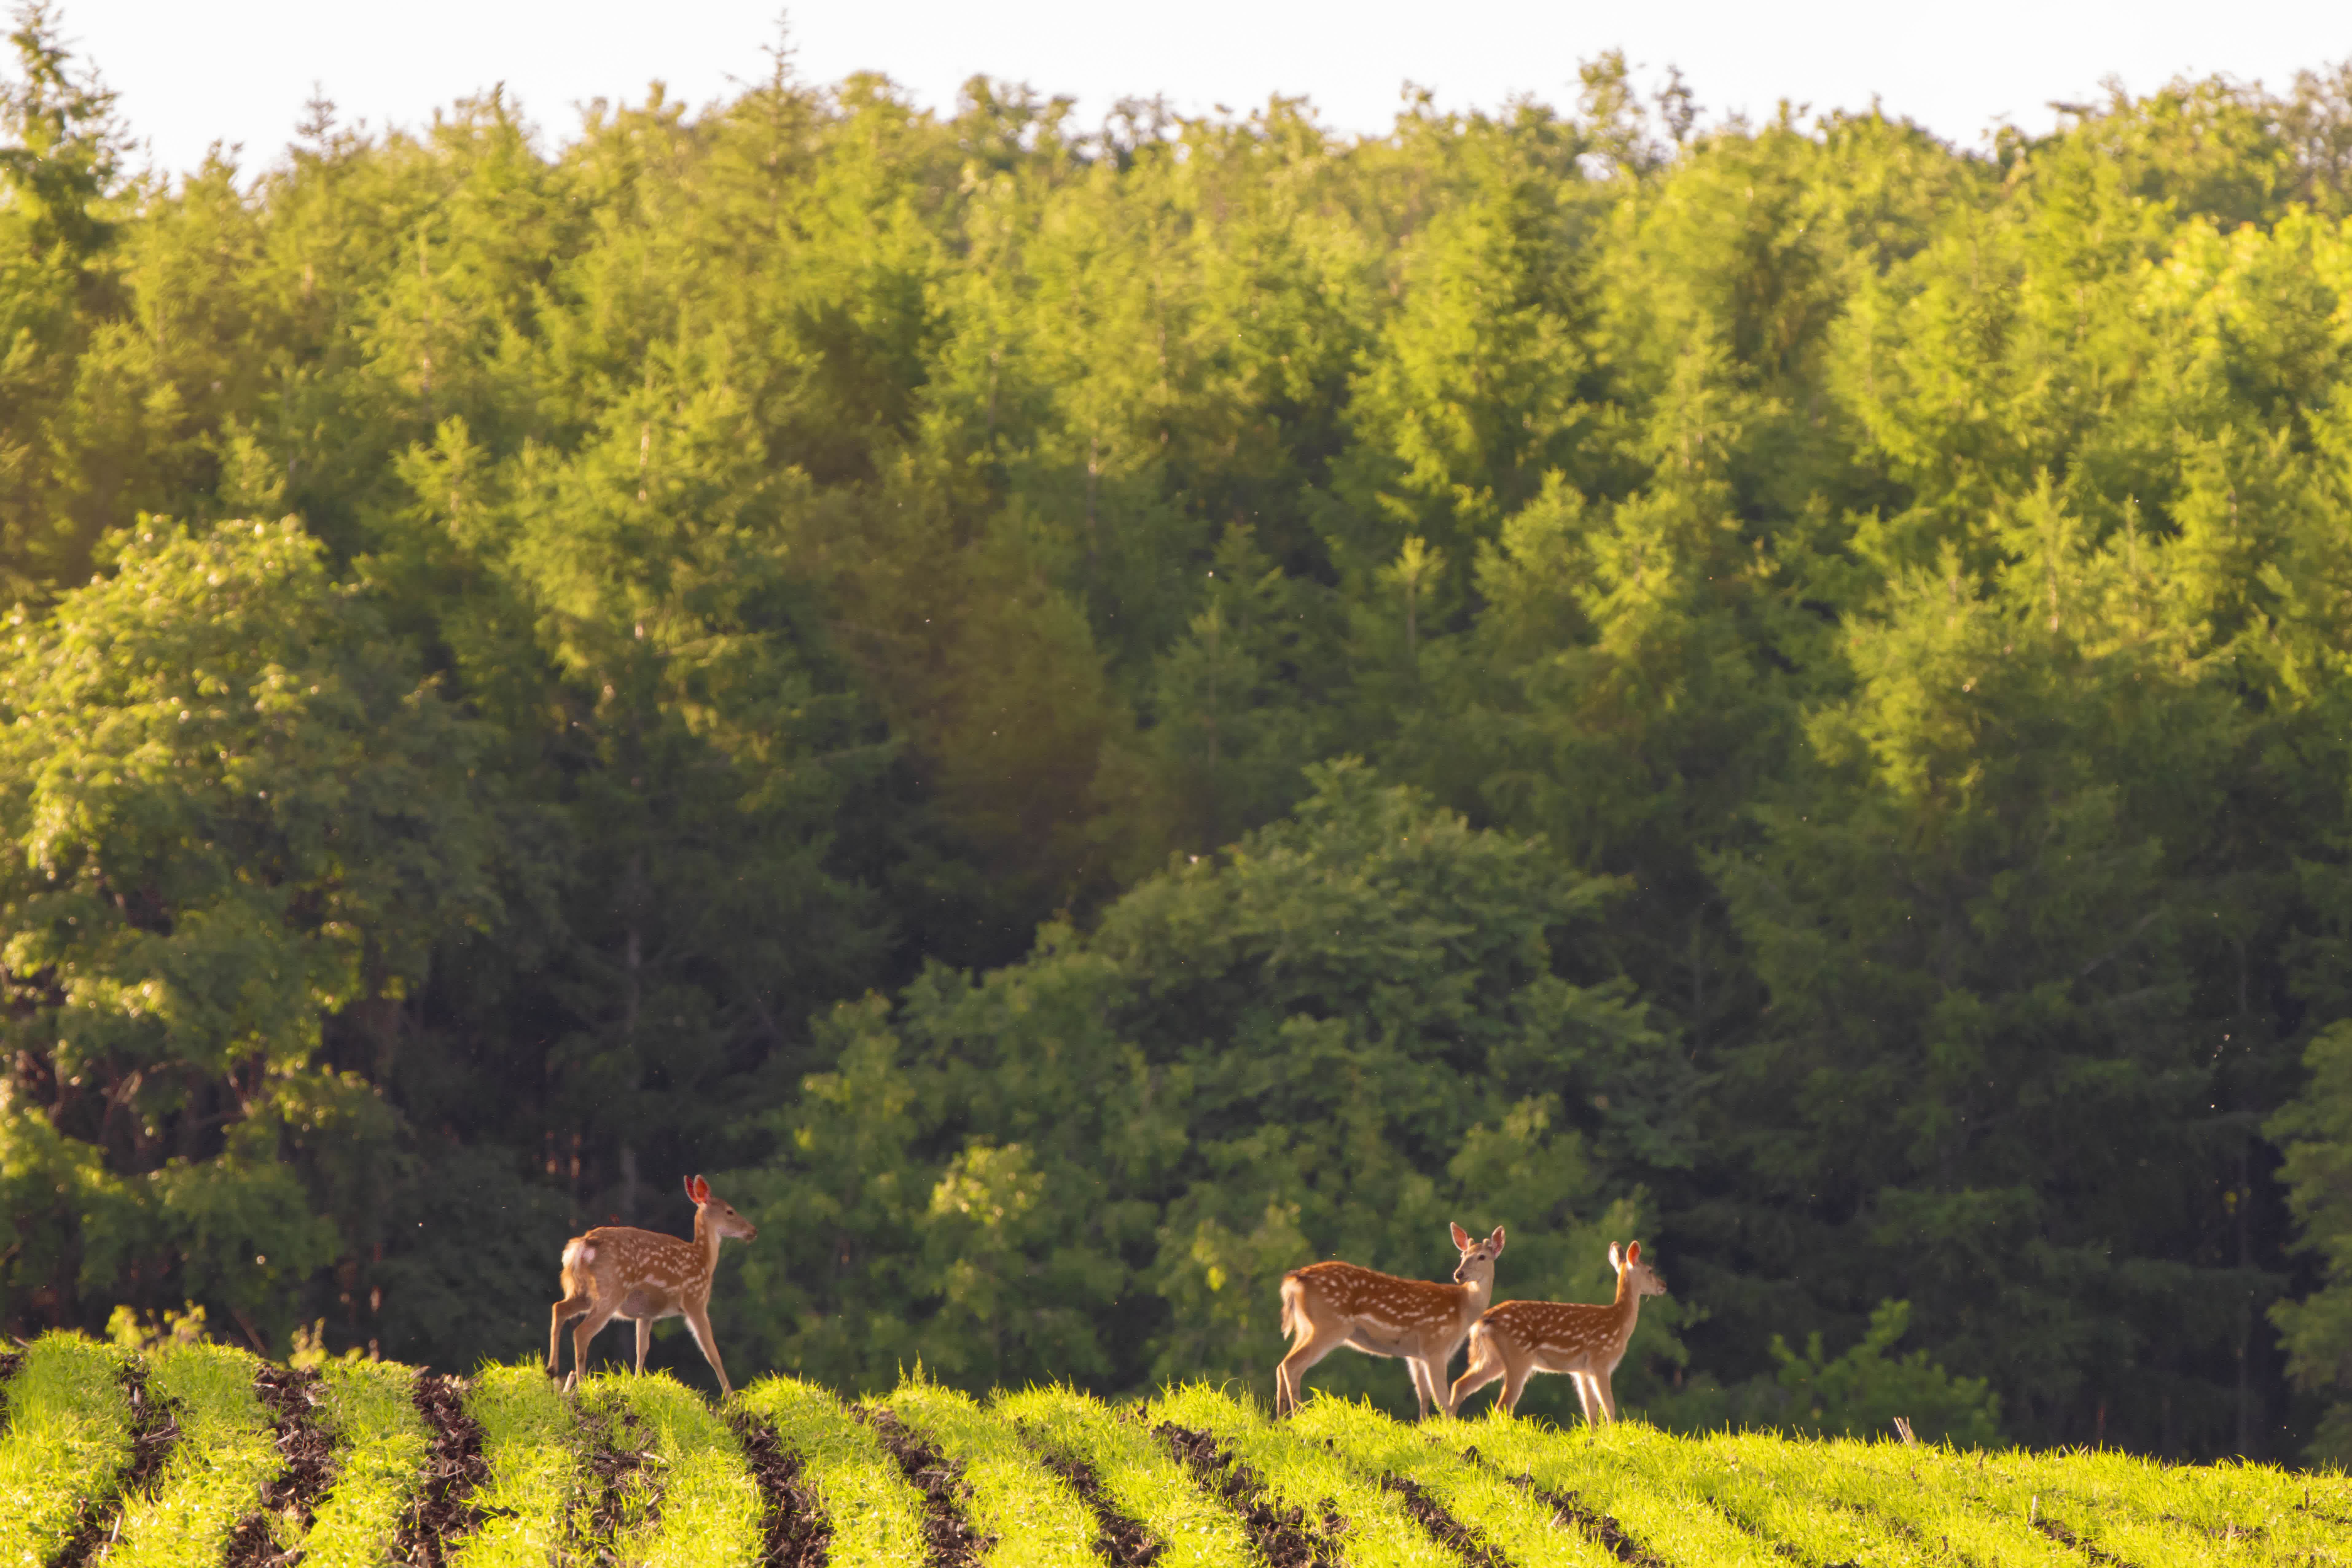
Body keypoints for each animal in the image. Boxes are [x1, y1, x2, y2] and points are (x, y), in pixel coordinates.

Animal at [545, 1175, 757, 1401]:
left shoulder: (646, 1314)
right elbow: (712, 1353)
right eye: (730, 1211)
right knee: (581, 1332)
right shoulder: (696, 1300)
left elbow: (642, 1350)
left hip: (583, 1291)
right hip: (613, 1288)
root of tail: (583, 1245)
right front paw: (733, 1399)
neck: (704, 1260)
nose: (753, 1231)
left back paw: (552, 1370)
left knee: (559, 1308)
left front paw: (637, 1385)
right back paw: (583, 1384)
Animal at [1270, 1222, 1505, 1429]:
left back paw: (1280, 1422)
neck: (1462, 1310)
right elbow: (1443, 1400)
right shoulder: (1436, 1345)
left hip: (1305, 1327)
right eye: (1463, 1256)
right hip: (1329, 1325)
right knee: (1292, 1365)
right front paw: (1449, 1431)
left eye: (1482, 1256)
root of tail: (1295, 1279)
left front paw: (1423, 1429)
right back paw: (1300, 1417)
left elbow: (1424, 1396)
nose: (1459, 1274)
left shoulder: (1416, 1355)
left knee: (1281, 1365)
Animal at [1439, 1241, 1665, 1420]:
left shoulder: (1582, 1371)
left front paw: (1594, 1439)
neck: (1619, 1323)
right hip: (1519, 1356)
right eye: (1650, 1270)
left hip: (1492, 1358)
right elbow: (1610, 1407)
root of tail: (1484, 1320)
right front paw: (1611, 1436)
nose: (1664, 1285)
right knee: (1502, 1405)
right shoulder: (1600, 1361)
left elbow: (1591, 1410)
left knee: (1460, 1385)